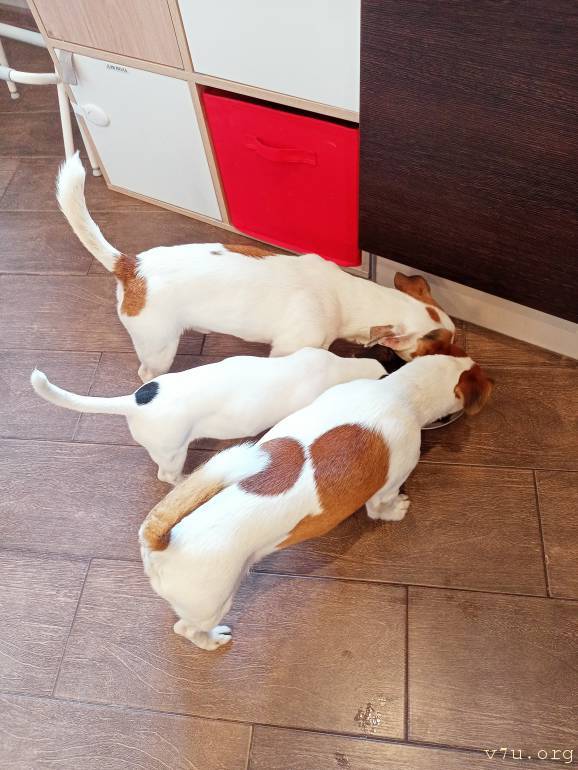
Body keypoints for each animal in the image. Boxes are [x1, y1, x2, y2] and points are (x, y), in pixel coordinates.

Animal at [57, 153, 455, 382]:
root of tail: (130, 265)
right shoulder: (290, 349)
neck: (348, 298)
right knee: (145, 371)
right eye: (431, 352)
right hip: (159, 347)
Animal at [139, 333, 493, 650]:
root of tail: (163, 543)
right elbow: (383, 506)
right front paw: (398, 510)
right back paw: (213, 640)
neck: (400, 391)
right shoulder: (389, 483)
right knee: (188, 629)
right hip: (213, 602)